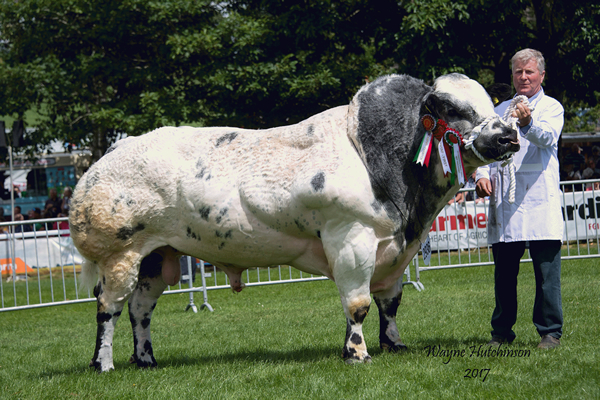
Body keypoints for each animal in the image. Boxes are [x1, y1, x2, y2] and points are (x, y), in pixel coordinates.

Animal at [70, 72, 520, 372]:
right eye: (452, 109)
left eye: (490, 102)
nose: (508, 137)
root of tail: (109, 157)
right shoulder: (351, 239)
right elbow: (357, 304)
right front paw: (357, 354)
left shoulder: (394, 251)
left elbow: (389, 303)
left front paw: (394, 345)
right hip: (120, 255)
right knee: (108, 307)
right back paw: (103, 363)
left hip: (158, 255)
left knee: (140, 308)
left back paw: (146, 359)